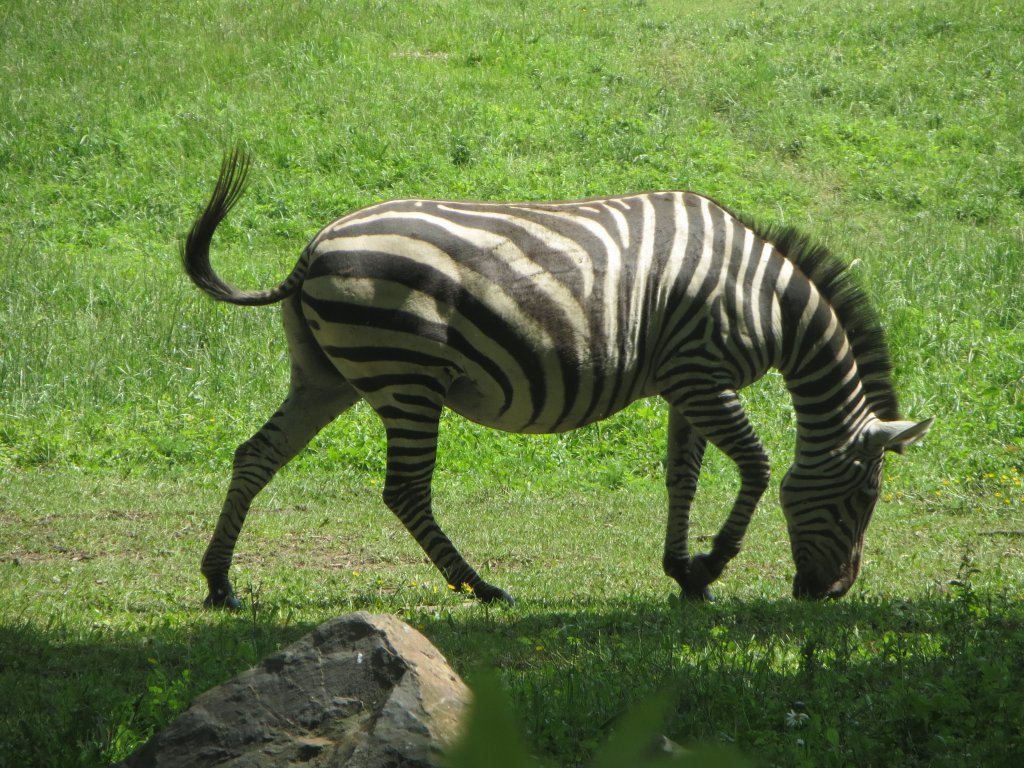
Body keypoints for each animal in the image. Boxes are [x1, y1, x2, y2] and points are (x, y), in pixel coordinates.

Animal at [180, 150, 933, 606]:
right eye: (865, 498)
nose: (831, 592)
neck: (769, 300)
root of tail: (315, 246)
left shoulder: (684, 382)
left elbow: (682, 477)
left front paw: (683, 572)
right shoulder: (700, 373)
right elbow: (755, 464)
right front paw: (712, 563)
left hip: (326, 375)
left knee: (257, 455)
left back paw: (219, 581)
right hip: (407, 375)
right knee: (405, 491)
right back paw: (481, 587)